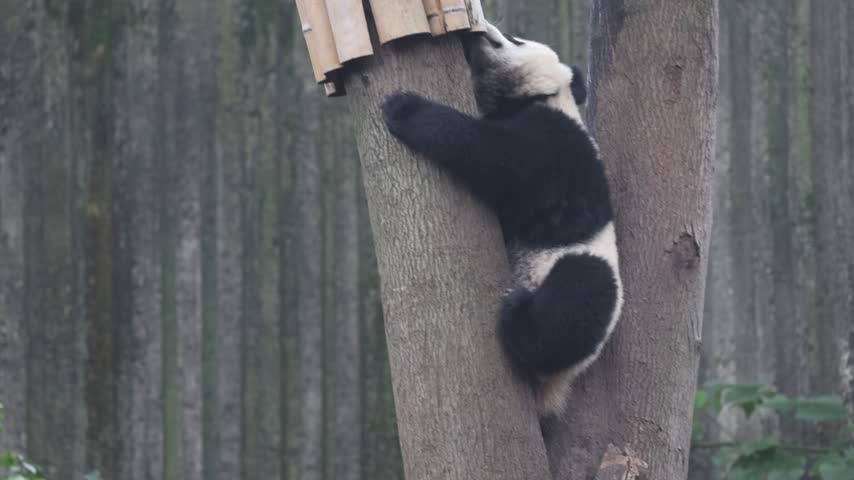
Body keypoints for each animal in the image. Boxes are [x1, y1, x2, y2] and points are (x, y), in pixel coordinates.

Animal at [381, 21, 623, 418]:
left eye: (515, 38)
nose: (478, 32)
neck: (539, 97)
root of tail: (549, 391)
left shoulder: (560, 143)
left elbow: (501, 160)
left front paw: (404, 108)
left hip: (579, 284)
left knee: (581, 295)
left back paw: (518, 317)